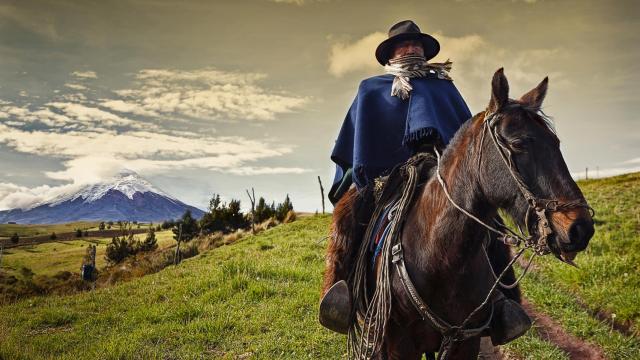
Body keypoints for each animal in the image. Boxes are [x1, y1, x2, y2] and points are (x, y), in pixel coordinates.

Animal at [324, 69, 596, 358]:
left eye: (555, 142)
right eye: (518, 144)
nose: (579, 227)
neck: (439, 257)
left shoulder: (466, 341)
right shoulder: (399, 343)